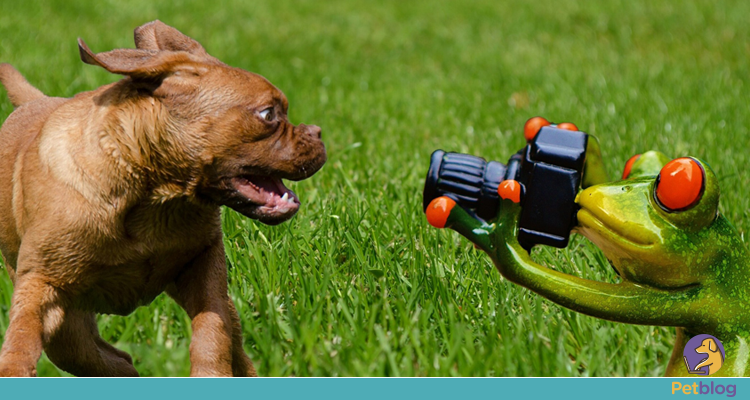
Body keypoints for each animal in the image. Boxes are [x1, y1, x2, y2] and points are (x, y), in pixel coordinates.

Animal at [0, 20, 326, 376]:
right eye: (268, 115)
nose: (318, 132)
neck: (153, 194)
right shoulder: (41, 284)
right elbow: (23, 340)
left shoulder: (204, 267)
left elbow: (213, 332)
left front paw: (210, 371)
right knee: (92, 352)